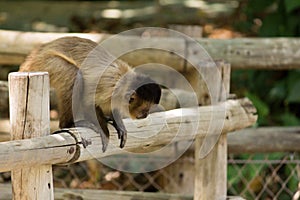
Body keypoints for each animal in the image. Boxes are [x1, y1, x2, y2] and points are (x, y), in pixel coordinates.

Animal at [19, 36, 162, 152]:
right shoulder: (108, 87)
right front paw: (104, 132)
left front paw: (119, 124)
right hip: (46, 63)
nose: (145, 115)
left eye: (148, 109)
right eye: (144, 109)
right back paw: (68, 124)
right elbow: (88, 102)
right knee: (74, 75)